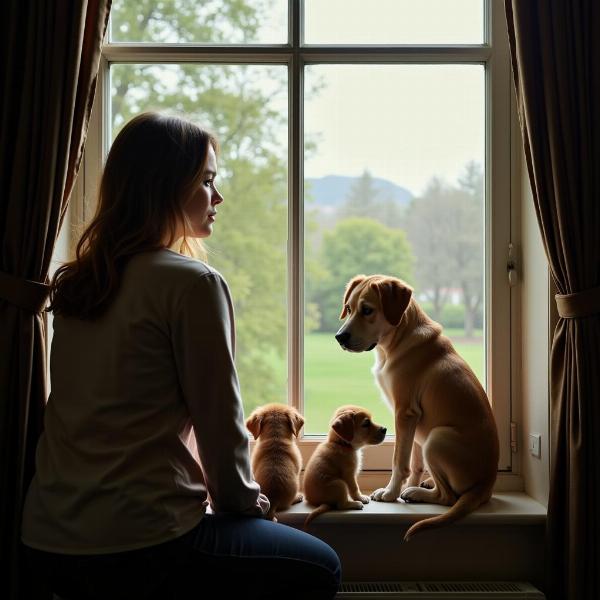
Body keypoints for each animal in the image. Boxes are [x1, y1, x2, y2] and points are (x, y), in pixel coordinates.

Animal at [336, 274, 500, 540]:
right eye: (348, 309)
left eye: (367, 310)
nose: (340, 337)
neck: (397, 341)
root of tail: (486, 485)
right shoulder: (412, 423)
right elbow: (413, 463)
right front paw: (408, 484)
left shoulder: (405, 413)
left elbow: (398, 461)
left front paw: (391, 493)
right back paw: (425, 484)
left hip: (436, 438)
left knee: (448, 497)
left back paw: (418, 493)